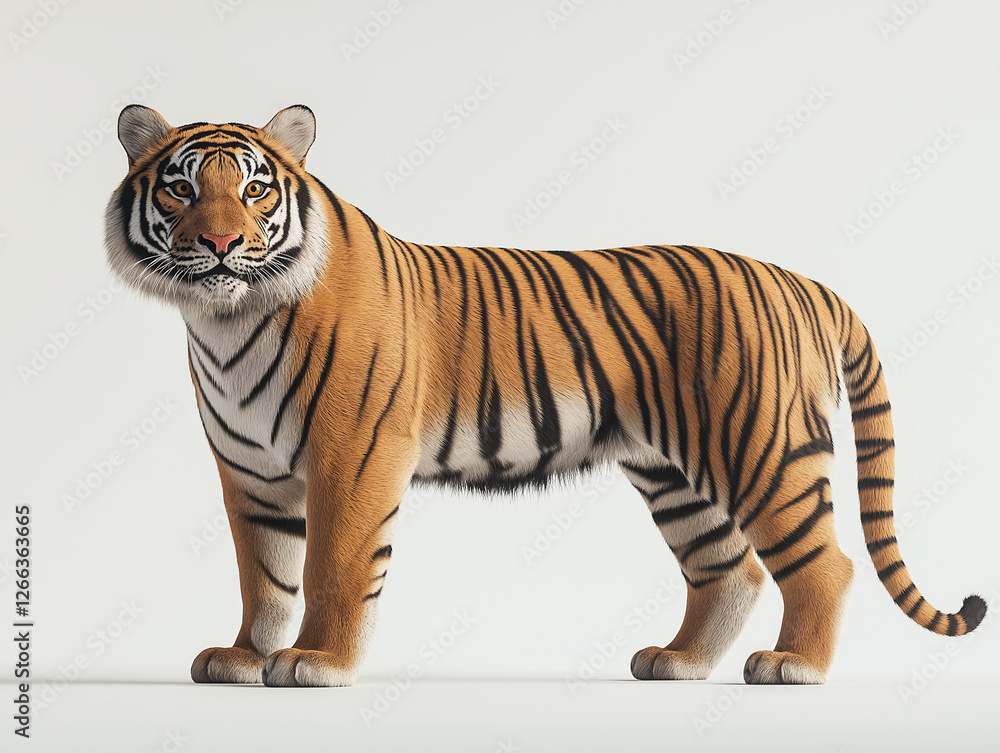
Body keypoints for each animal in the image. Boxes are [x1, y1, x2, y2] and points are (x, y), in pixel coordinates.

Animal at [104, 103, 986, 687]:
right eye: (181, 191)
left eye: (256, 191)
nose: (222, 243)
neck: (227, 319)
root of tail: (801, 280)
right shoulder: (250, 472)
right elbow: (264, 572)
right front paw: (244, 656)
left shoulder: (351, 454)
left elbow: (332, 564)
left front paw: (316, 661)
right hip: (674, 471)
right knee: (728, 568)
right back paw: (677, 661)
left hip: (762, 445)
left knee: (824, 561)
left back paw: (793, 664)